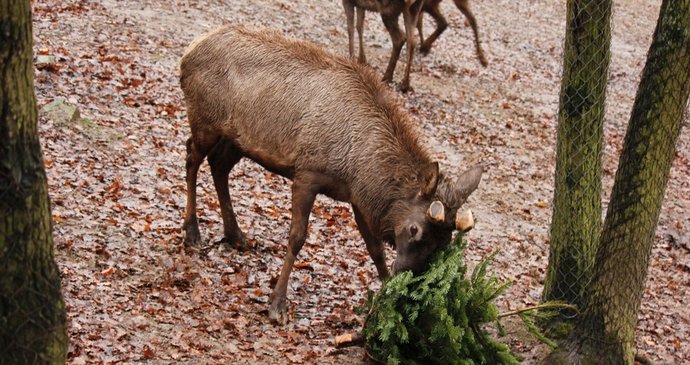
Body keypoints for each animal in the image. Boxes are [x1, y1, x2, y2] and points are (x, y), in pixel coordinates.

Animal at [180, 24, 482, 322]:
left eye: (444, 243)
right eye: (414, 229)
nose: (407, 280)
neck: (358, 167)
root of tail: (190, 50)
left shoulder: (358, 199)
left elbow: (375, 249)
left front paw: (385, 301)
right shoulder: (307, 173)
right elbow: (297, 238)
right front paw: (277, 304)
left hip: (238, 139)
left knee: (218, 165)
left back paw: (235, 234)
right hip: (204, 119)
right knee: (191, 157)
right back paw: (192, 231)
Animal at [342, 0, 486, 89]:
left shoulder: (348, 1)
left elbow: (350, 28)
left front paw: (352, 59)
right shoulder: (359, 4)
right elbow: (359, 26)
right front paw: (361, 59)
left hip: (389, 10)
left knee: (400, 38)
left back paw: (387, 77)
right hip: (413, 8)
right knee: (412, 39)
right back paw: (405, 83)